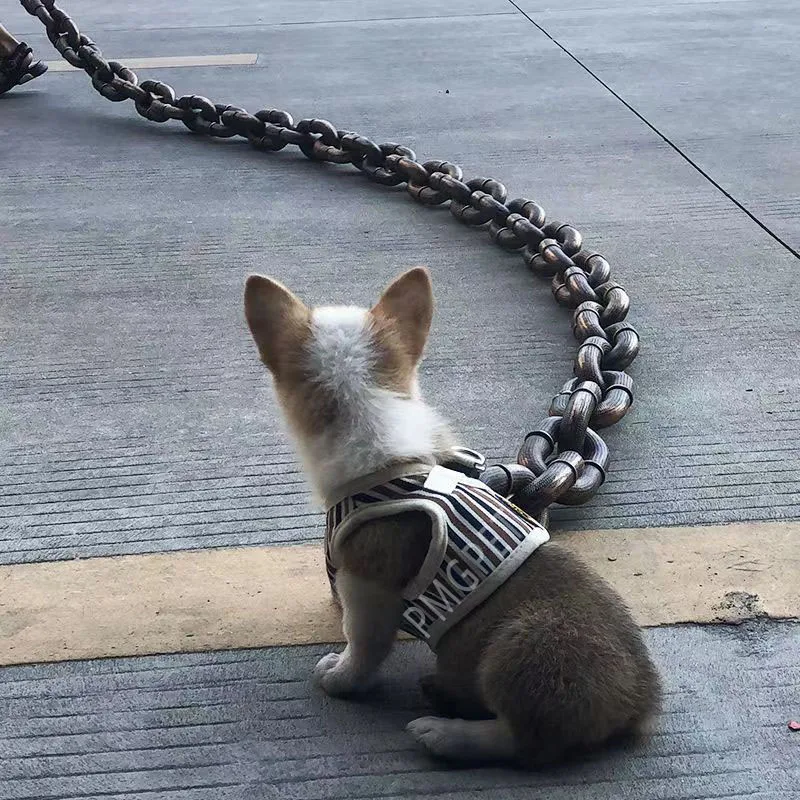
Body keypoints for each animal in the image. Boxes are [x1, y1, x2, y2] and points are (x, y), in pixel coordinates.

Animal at [245, 266, 664, 764]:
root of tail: (642, 701)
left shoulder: (367, 588)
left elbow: (362, 645)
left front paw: (341, 677)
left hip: (518, 649)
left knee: (525, 743)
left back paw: (445, 733)